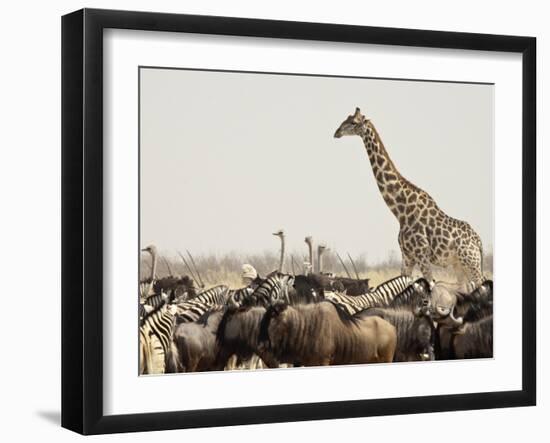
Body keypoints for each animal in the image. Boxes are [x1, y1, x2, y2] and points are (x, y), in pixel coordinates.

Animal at [334, 107, 486, 288]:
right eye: (345, 119)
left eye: (353, 122)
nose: (337, 132)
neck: (401, 211)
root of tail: (478, 241)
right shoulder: (407, 256)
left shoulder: (422, 255)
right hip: (459, 266)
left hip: (472, 263)